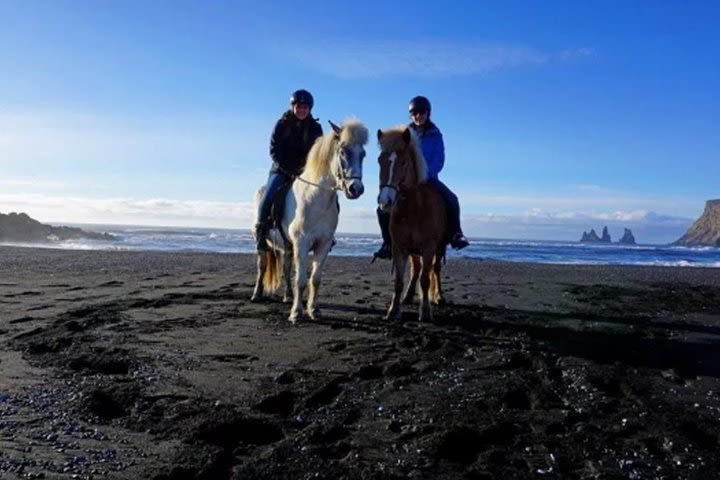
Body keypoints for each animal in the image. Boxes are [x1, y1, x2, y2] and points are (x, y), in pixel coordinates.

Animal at [252, 119, 366, 322]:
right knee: (262, 266)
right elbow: (301, 280)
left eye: (363, 154)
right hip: (263, 243)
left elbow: (315, 279)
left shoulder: (323, 244)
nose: (356, 189)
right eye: (343, 152)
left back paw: (288, 296)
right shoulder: (302, 242)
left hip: (287, 246)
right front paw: (296, 313)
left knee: (286, 269)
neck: (315, 198)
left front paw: (313, 310)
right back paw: (257, 294)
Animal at [376, 127, 444, 322]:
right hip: (414, 251)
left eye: (404, 162)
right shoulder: (400, 247)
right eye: (380, 160)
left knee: (435, 270)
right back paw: (407, 296)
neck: (413, 209)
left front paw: (426, 311)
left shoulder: (429, 248)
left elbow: (426, 279)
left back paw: (438, 297)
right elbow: (399, 281)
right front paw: (393, 310)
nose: (385, 202)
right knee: (417, 270)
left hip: (439, 248)